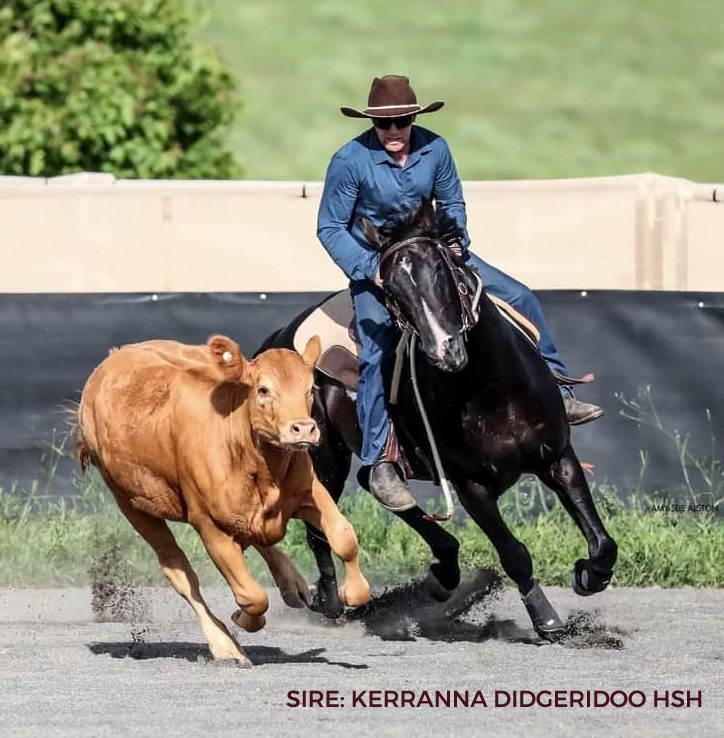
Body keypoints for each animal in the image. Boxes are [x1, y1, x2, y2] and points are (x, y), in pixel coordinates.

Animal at [76, 334, 370, 667]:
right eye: (263, 389)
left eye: (309, 389)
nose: (304, 429)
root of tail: (113, 358)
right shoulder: (211, 526)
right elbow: (252, 597)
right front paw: (241, 621)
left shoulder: (310, 491)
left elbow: (344, 537)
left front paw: (351, 592)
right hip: (131, 503)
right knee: (178, 571)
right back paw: (223, 644)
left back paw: (292, 584)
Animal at [257, 200, 617, 640]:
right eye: (392, 292)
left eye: (443, 271)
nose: (444, 351)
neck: (491, 390)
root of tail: (276, 340)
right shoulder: (470, 485)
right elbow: (514, 554)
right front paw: (546, 618)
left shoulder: (557, 456)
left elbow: (602, 542)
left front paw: (588, 575)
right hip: (323, 456)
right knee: (321, 520)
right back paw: (329, 599)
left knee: (377, 484)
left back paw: (443, 571)